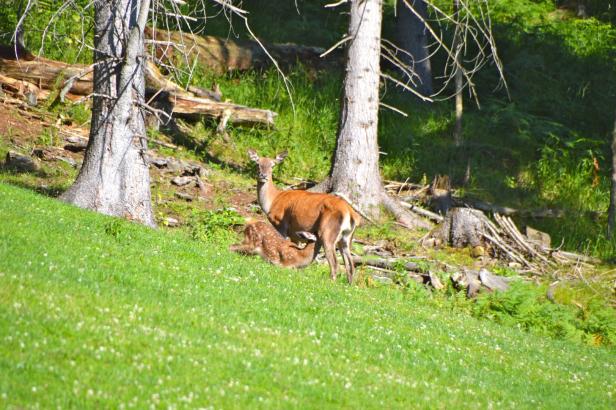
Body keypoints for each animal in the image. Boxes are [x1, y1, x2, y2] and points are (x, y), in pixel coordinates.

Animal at [247, 149, 360, 284]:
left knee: (335, 261)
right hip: (346, 237)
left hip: (327, 231)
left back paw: (331, 282)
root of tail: (350, 213)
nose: (263, 175)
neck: (273, 200)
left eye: (272, 165)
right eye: (258, 164)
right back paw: (349, 284)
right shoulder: (294, 233)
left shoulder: (281, 223)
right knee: (350, 264)